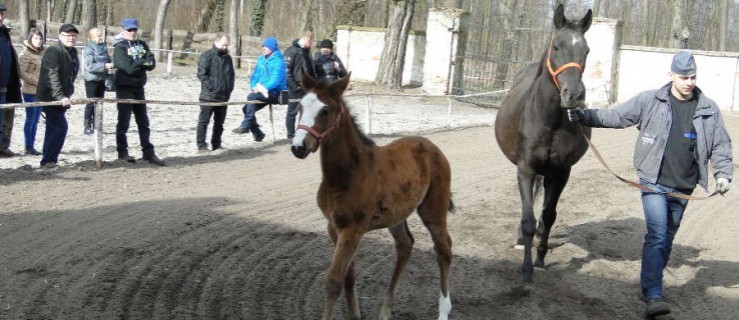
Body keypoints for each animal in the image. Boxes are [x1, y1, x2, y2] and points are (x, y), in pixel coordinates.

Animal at [290, 73, 454, 320]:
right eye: (299, 107)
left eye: (325, 111)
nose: (298, 147)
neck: (347, 174)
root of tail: (430, 144)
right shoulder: (334, 228)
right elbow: (349, 276)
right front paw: (354, 315)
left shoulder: (352, 230)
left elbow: (333, 281)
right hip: (396, 214)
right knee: (405, 245)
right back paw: (385, 309)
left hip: (433, 208)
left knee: (443, 248)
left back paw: (443, 310)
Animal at [494, 4, 592, 284]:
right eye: (556, 46)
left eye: (586, 51)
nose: (574, 95)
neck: (549, 120)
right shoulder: (525, 169)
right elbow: (528, 218)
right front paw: (526, 271)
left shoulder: (560, 173)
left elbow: (547, 217)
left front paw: (539, 261)